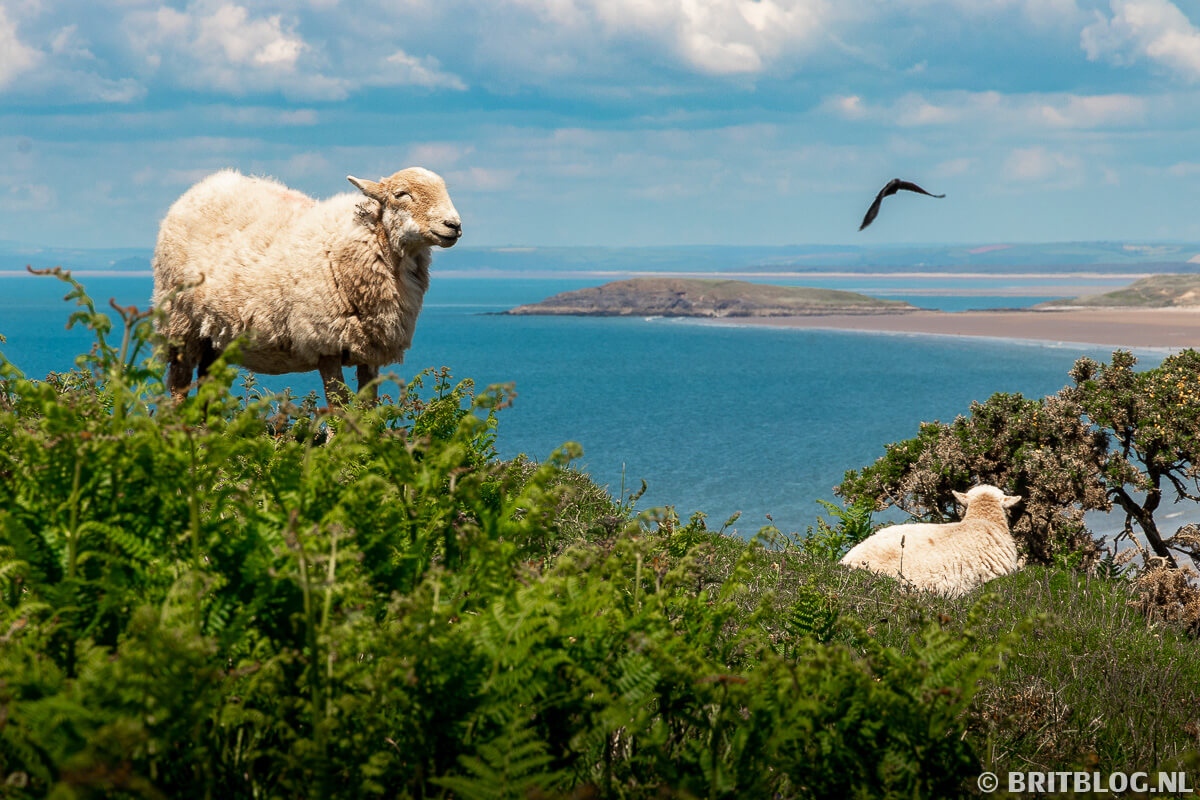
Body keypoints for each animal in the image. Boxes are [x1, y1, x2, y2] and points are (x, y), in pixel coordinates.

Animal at [152, 167, 460, 407]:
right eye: (401, 194)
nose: (454, 225)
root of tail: (205, 186)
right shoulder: (325, 341)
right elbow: (338, 407)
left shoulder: (370, 347)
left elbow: (368, 408)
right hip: (180, 322)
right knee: (179, 386)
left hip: (214, 333)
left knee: (207, 384)